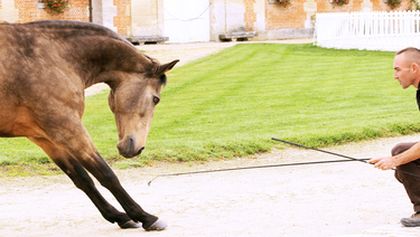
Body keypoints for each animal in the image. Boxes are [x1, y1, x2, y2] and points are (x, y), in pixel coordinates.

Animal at [0, 20, 178, 231]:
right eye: (156, 99)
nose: (136, 147)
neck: (54, 56)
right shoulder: (67, 128)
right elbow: (106, 174)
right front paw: (145, 217)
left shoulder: (45, 137)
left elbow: (82, 179)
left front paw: (119, 216)